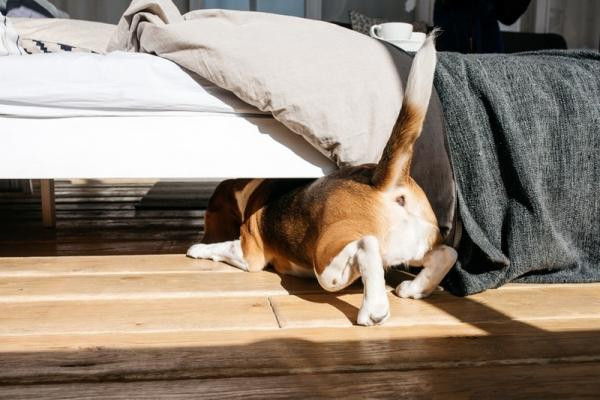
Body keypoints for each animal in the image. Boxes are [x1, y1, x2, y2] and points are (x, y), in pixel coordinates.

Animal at [188, 35, 454, 324]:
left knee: (366, 247)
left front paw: (197, 249)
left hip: (327, 260)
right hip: (416, 243)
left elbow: (221, 247)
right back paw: (415, 288)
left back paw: (373, 310)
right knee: (447, 254)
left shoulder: (249, 253)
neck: (252, 187)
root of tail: (379, 181)